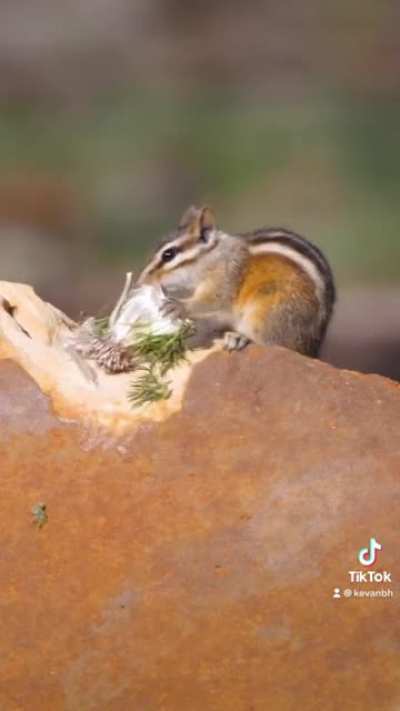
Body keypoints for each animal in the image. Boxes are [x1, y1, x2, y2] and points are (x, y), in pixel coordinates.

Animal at [136, 206, 336, 357]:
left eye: (168, 254)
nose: (141, 281)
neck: (212, 257)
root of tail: (310, 349)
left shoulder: (226, 278)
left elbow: (213, 300)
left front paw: (178, 306)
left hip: (269, 310)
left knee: (275, 343)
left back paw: (241, 338)